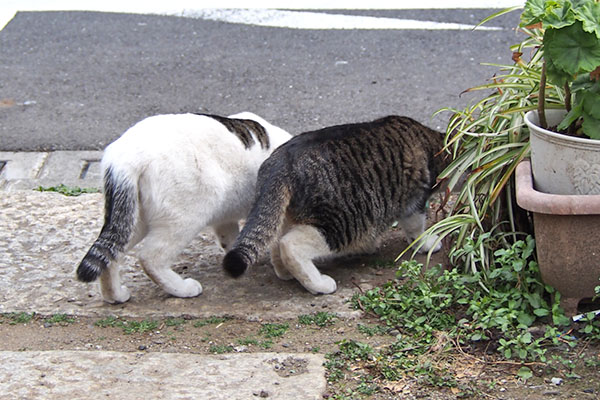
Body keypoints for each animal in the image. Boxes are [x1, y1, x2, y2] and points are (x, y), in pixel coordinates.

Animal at [76, 111, 292, 302]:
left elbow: (230, 238)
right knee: (150, 258)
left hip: (130, 219)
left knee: (111, 253)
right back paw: (182, 288)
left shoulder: (226, 218)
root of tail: (125, 160)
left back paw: (115, 296)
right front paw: (283, 272)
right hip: (187, 216)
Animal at [225, 115, 450, 294]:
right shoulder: (415, 201)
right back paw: (318, 284)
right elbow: (416, 229)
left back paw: (285, 273)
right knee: (289, 245)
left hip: (289, 214)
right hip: (342, 221)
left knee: (275, 241)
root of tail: (280, 163)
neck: (433, 143)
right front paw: (426, 244)